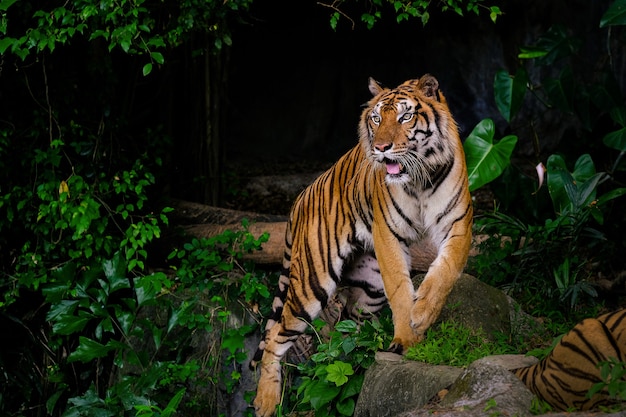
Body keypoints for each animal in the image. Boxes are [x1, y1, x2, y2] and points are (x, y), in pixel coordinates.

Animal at [250, 75, 472, 416]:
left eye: (406, 117)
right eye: (377, 119)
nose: (381, 148)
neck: (420, 178)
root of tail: (299, 198)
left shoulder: (458, 224)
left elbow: (446, 271)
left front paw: (422, 313)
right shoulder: (388, 233)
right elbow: (400, 288)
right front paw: (407, 337)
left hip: (370, 287)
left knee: (348, 329)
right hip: (312, 282)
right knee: (276, 333)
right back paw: (266, 401)